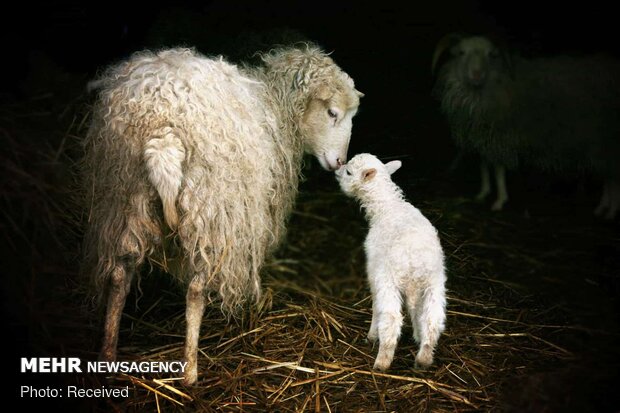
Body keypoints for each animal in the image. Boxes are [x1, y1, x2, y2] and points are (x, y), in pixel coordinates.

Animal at [82, 44, 364, 384]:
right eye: (333, 113)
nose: (340, 163)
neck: (275, 103)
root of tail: (163, 126)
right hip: (212, 209)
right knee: (195, 289)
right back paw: (190, 371)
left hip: (123, 197)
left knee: (119, 274)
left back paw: (108, 357)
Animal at [334, 153, 446, 368]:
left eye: (349, 172)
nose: (337, 169)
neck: (386, 206)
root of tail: (415, 262)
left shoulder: (374, 271)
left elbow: (376, 307)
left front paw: (371, 336)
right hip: (434, 283)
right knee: (432, 318)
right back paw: (424, 357)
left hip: (389, 279)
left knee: (392, 318)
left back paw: (382, 361)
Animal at [432, 33, 620, 217]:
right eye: (461, 53)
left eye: (491, 55)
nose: (477, 74)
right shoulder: (483, 135)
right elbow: (484, 165)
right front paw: (482, 193)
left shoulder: (501, 136)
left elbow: (498, 169)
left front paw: (500, 201)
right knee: (609, 176)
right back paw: (602, 208)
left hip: (607, 140)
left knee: (613, 177)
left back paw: (611, 211)